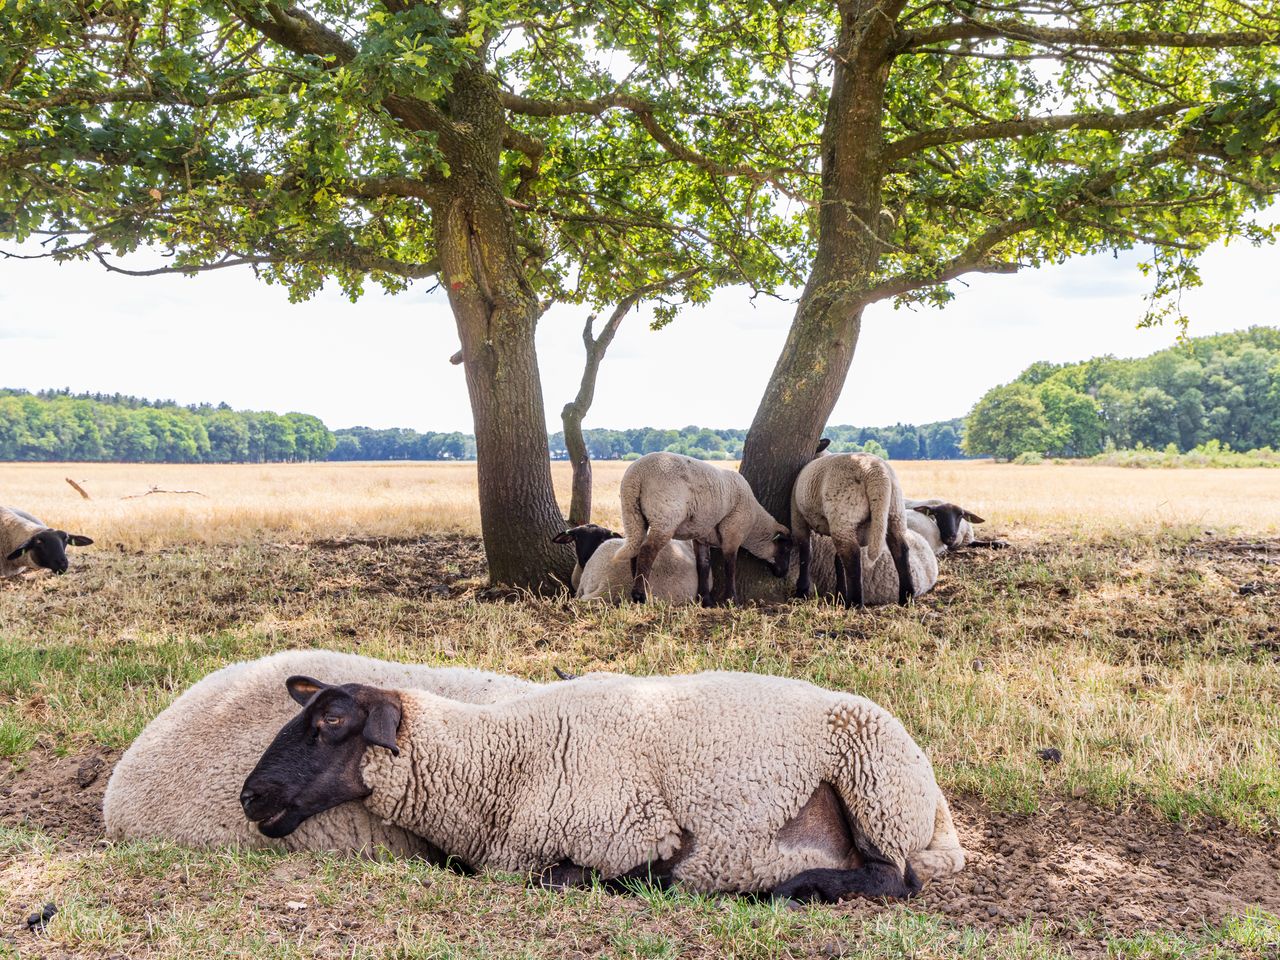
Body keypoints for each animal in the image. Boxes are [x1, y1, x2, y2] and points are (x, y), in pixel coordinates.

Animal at [240, 670, 962, 901]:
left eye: (332, 722)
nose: (249, 796)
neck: (500, 758)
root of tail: (939, 812)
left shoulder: (635, 832)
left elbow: (572, 876)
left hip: (874, 787)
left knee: (892, 878)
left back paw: (793, 886)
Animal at [611, 453, 788, 604]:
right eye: (786, 548)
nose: (784, 574)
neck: (755, 523)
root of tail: (636, 475)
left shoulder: (702, 536)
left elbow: (703, 565)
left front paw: (706, 600)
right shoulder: (732, 532)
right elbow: (730, 566)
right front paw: (732, 600)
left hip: (633, 513)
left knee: (636, 549)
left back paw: (637, 590)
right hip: (665, 516)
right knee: (647, 551)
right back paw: (640, 595)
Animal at [793, 455, 916, 609]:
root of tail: (875, 473)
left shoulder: (798, 517)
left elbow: (805, 553)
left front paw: (801, 591)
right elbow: (837, 561)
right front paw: (839, 597)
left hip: (844, 515)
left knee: (852, 557)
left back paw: (855, 603)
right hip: (895, 512)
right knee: (901, 550)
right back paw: (907, 598)